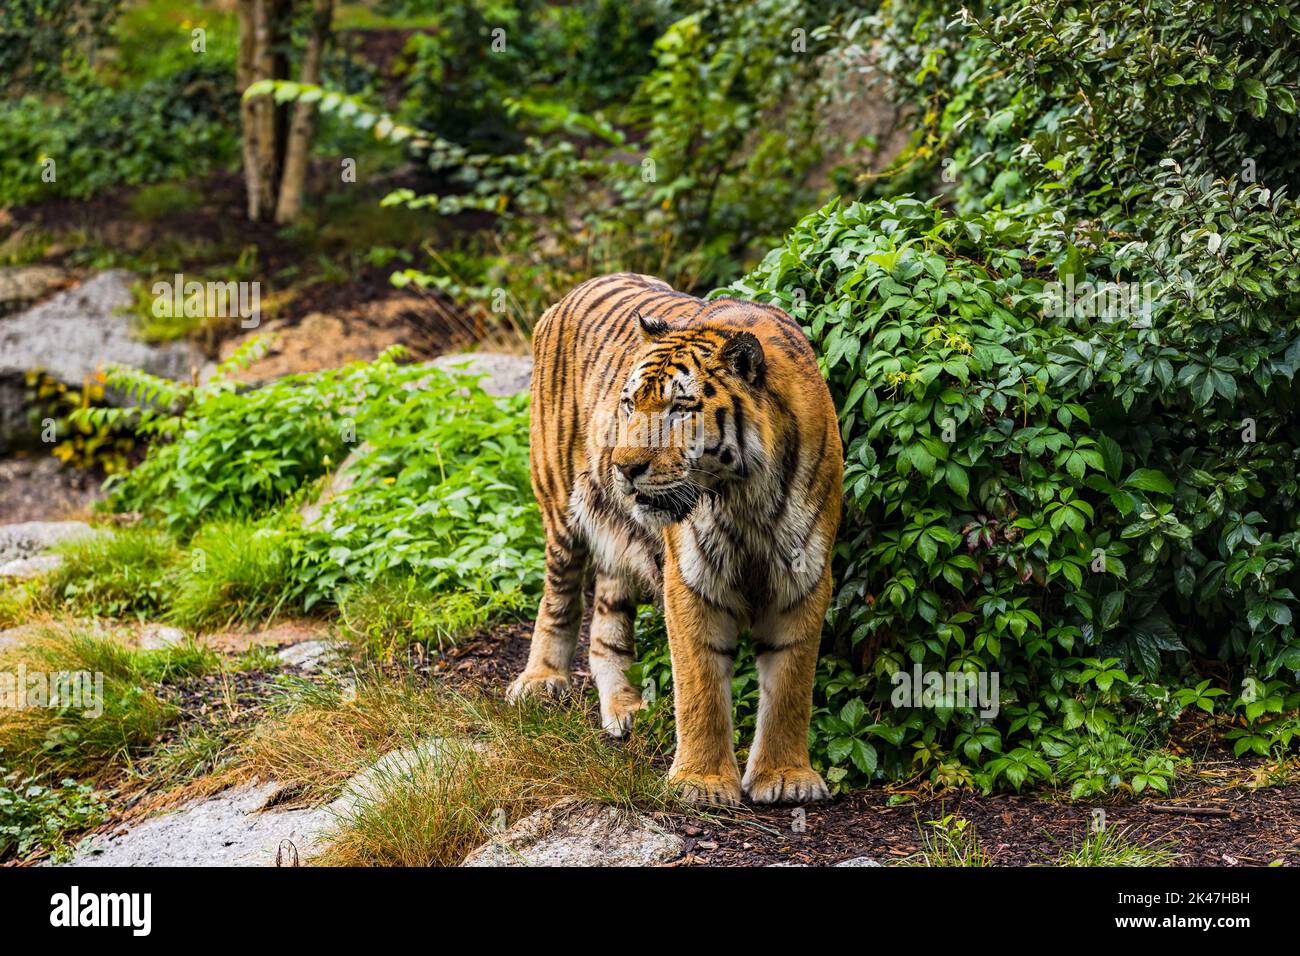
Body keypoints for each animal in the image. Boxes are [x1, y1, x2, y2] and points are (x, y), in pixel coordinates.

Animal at [506, 273, 842, 806]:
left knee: (607, 624)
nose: (623, 467)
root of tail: (579, 287)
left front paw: (786, 777)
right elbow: (700, 686)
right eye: (629, 403)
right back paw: (540, 681)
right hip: (559, 501)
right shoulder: (690, 579)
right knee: (558, 598)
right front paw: (701, 784)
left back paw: (626, 708)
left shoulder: (804, 575)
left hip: (620, 535)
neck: (744, 496)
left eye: (679, 408)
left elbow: (791, 685)